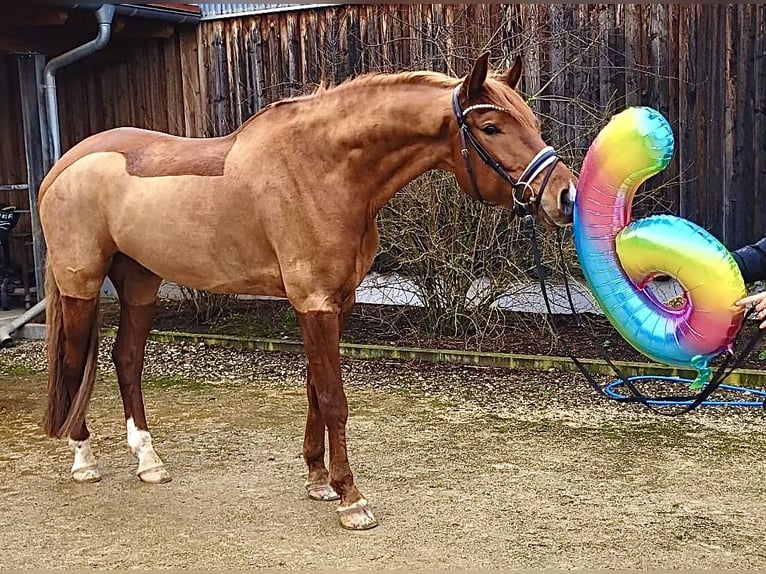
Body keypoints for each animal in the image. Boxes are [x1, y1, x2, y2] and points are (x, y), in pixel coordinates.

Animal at [37, 53, 576, 532]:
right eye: (491, 128)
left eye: (531, 120)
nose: (565, 196)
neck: (321, 170)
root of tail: (63, 165)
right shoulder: (313, 301)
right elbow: (334, 398)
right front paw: (351, 499)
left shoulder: (338, 302)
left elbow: (316, 390)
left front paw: (319, 480)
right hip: (81, 286)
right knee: (73, 361)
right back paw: (83, 460)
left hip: (141, 284)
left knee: (126, 360)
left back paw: (149, 461)